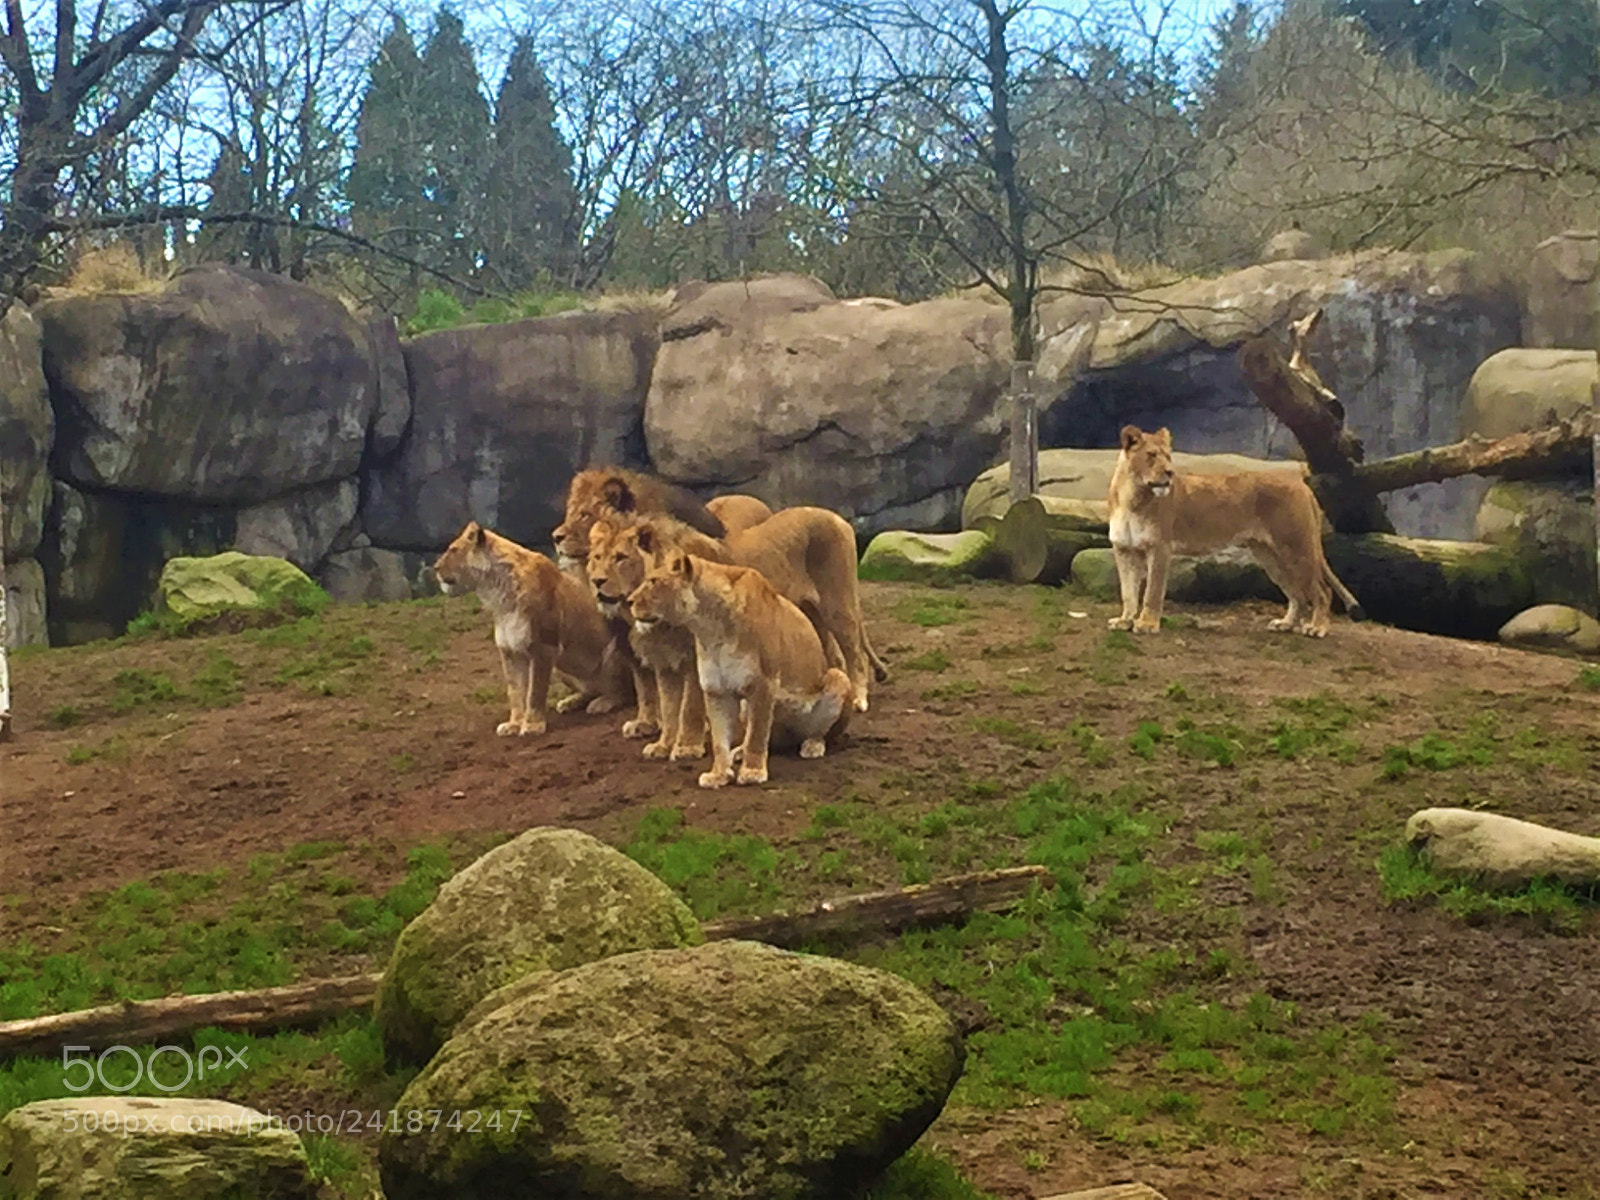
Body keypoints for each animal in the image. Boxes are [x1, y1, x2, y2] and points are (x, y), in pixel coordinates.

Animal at [433, 521, 633, 735]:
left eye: (453, 550)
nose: (435, 568)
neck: (496, 595)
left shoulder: (543, 647)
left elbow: (535, 691)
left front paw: (532, 725)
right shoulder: (509, 651)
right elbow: (514, 691)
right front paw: (513, 724)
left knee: (625, 692)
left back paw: (602, 703)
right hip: (561, 666)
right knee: (590, 690)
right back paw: (570, 702)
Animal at [586, 518, 709, 761]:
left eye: (621, 558)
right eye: (597, 557)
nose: (597, 581)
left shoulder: (694, 659)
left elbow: (690, 705)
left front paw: (687, 746)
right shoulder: (664, 662)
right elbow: (668, 705)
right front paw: (663, 743)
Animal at [628, 549, 853, 788]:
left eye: (653, 582)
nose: (629, 600)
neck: (709, 628)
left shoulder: (763, 684)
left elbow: (756, 735)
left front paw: (753, 772)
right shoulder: (716, 690)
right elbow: (719, 741)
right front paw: (718, 775)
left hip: (838, 677)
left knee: (821, 733)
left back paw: (812, 745)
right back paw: (739, 751)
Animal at [1107, 425, 1363, 638]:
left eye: (1168, 457)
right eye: (1151, 455)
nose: (1170, 473)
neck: (1132, 498)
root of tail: (1302, 485)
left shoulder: (1160, 548)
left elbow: (1152, 591)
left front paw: (1147, 624)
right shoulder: (1124, 550)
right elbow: (1128, 591)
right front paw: (1124, 621)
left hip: (1296, 547)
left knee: (1322, 591)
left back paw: (1317, 628)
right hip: (1269, 555)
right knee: (1297, 593)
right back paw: (1286, 624)